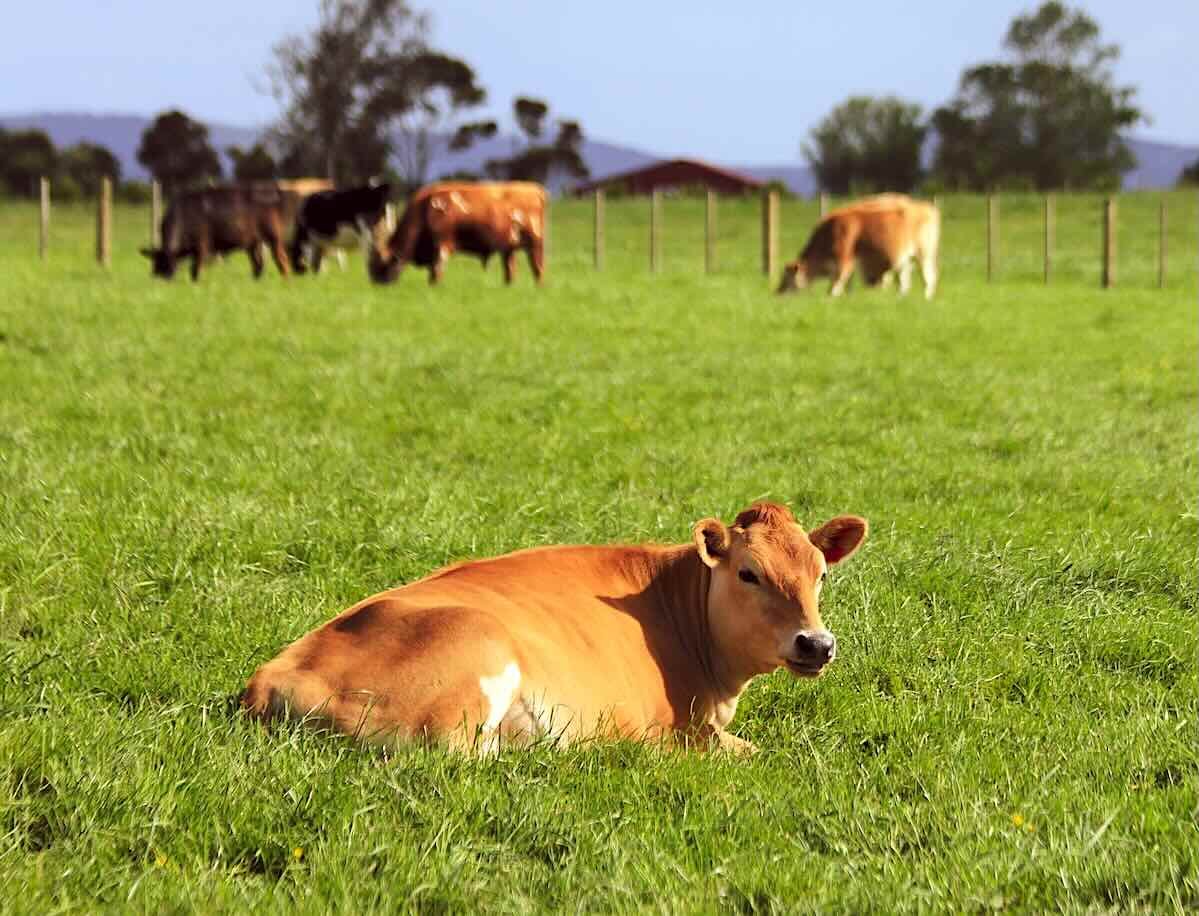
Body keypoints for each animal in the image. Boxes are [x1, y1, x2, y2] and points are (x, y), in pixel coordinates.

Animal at [140, 184, 300, 281]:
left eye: (170, 268)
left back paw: (286, 280)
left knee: (282, 259)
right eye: (156, 269)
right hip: (253, 242)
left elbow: (196, 270)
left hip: (273, 237)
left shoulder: (202, 246)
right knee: (258, 264)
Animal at [368, 181, 546, 286]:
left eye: (381, 266)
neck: (424, 207)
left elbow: (436, 272)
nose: (376, 285)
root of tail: (535, 189)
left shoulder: (442, 245)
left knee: (538, 269)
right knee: (510, 272)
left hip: (535, 245)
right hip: (509, 248)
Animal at [777, 194, 940, 299]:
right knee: (904, 283)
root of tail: (927, 207)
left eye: (786, 278)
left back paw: (926, 298)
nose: (777, 293)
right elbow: (846, 285)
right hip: (904, 261)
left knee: (929, 278)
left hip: (924, 255)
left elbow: (833, 288)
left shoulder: (844, 262)